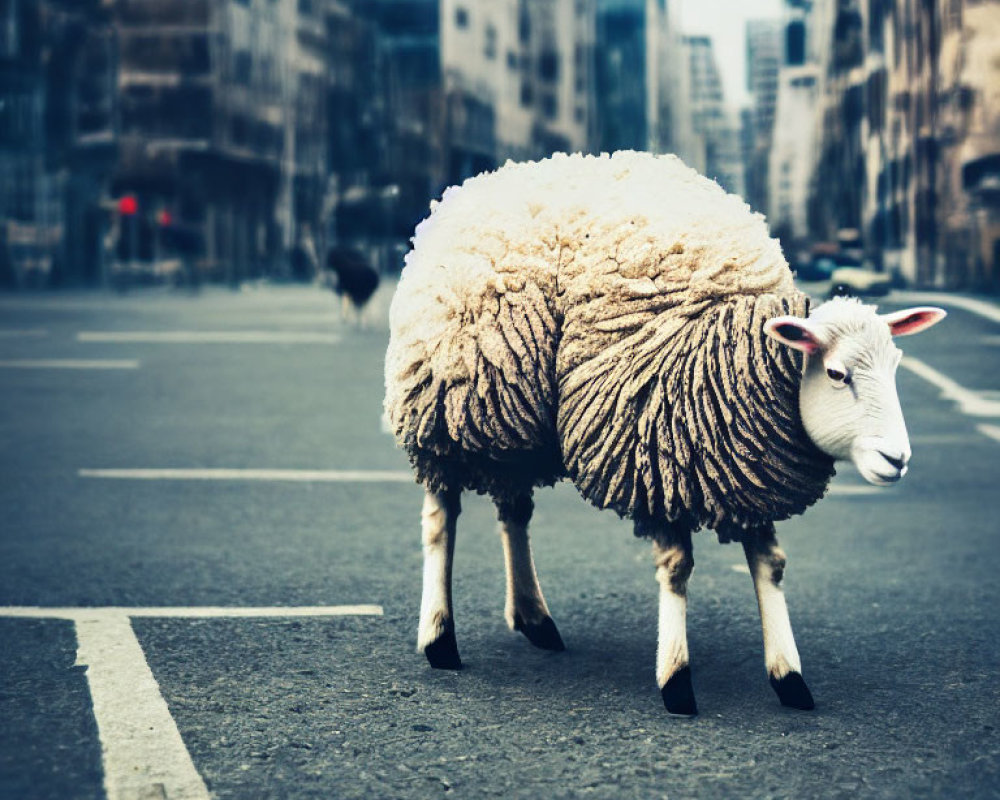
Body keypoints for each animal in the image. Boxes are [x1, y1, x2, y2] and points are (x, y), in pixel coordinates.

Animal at [384, 153, 944, 716]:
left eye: (896, 365)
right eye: (835, 373)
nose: (897, 458)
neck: (735, 350)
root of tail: (472, 185)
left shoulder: (743, 467)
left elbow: (770, 565)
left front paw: (789, 678)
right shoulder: (656, 459)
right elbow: (677, 567)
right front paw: (676, 679)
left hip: (508, 417)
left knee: (514, 510)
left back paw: (534, 619)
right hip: (443, 410)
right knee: (441, 520)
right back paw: (440, 640)